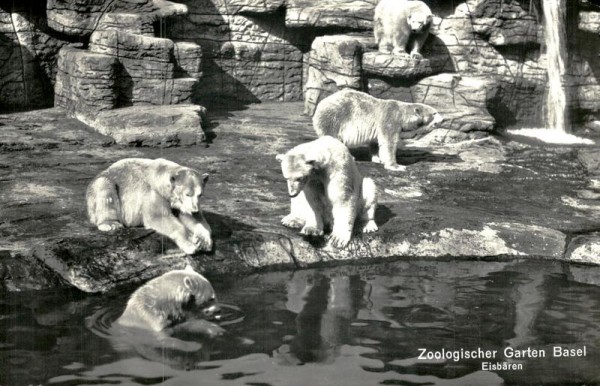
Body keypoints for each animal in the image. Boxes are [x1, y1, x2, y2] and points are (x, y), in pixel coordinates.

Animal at [312, 89, 442, 171]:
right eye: (435, 113)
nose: (443, 119)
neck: (402, 114)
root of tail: (320, 105)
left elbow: (375, 142)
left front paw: (377, 159)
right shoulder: (390, 119)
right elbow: (389, 143)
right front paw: (396, 166)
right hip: (334, 118)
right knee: (331, 137)